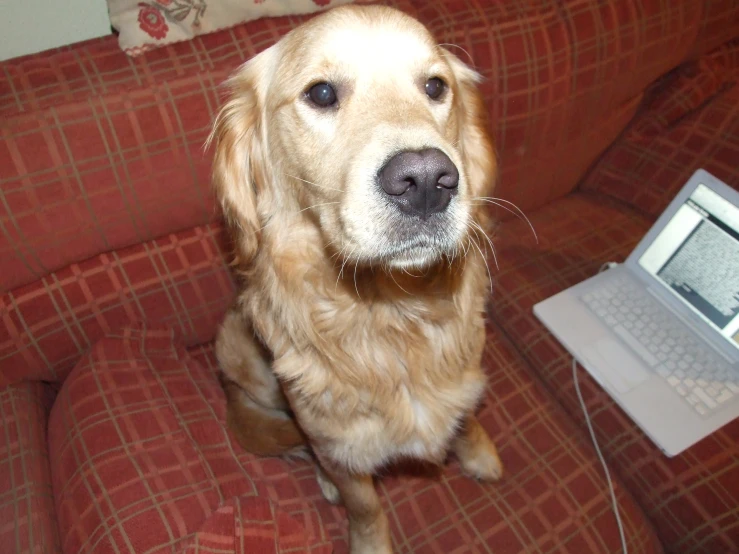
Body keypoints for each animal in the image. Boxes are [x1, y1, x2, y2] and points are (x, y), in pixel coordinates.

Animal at [210, 6, 502, 548]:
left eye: (435, 86)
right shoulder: (338, 447)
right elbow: (365, 506)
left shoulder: (466, 370)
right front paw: (370, 543)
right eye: (321, 93)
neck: (393, 313)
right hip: (238, 348)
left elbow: (466, 414)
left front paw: (478, 453)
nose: (425, 180)